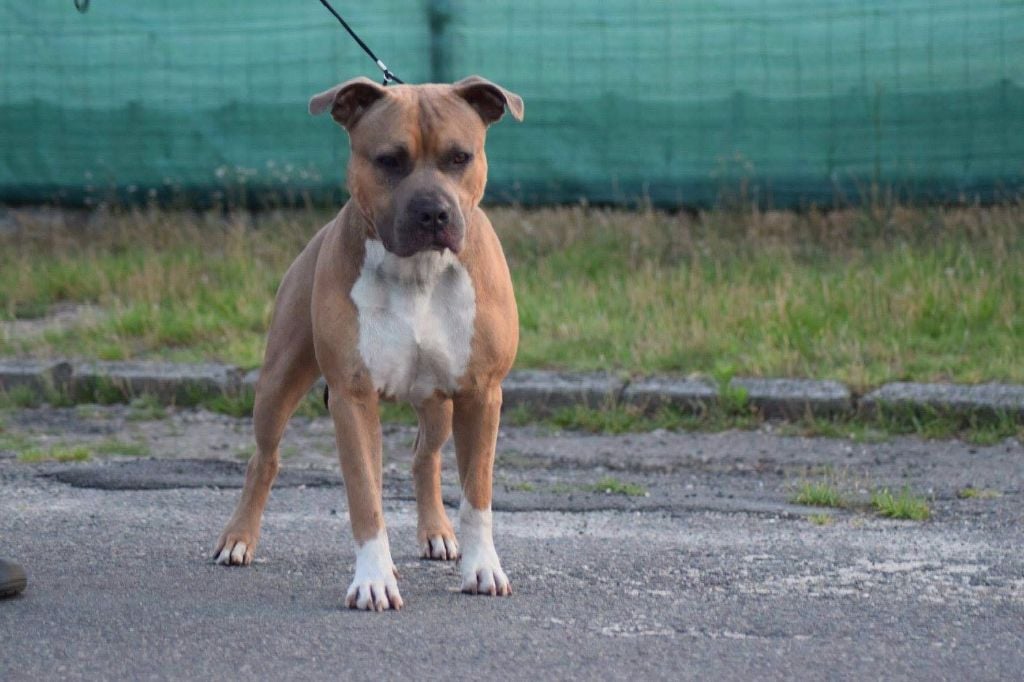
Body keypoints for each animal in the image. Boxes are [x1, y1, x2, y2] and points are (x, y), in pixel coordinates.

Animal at [212, 75, 524, 610]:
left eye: (460, 157)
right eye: (389, 160)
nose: (433, 213)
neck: (418, 273)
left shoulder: (482, 393)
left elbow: (477, 495)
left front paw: (482, 568)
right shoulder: (352, 395)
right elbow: (364, 496)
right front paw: (374, 580)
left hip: (440, 405)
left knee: (424, 455)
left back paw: (437, 533)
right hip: (278, 384)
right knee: (265, 459)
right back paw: (238, 539)